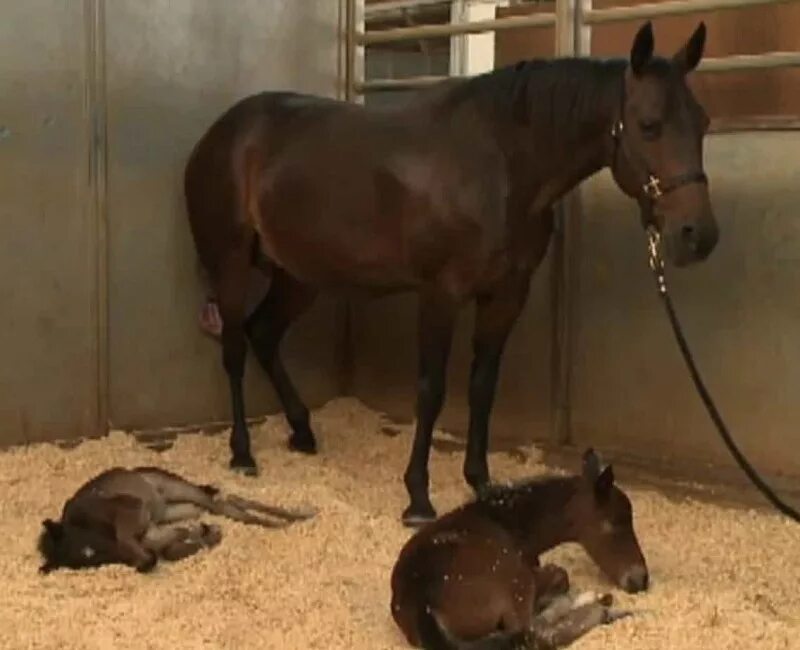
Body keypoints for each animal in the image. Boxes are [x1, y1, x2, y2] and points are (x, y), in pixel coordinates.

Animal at [37, 466, 314, 572]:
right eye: (94, 561)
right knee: (221, 504)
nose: (146, 562)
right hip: (179, 508)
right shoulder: (151, 531)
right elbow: (169, 548)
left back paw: (291, 518)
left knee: (220, 501)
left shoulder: (130, 508)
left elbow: (130, 538)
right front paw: (204, 533)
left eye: (93, 548)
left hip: (177, 489)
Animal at [184, 21, 716, 528]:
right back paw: (242, 454)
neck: (499, 166)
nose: (699, 235)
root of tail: (221, 133)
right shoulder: (441, 293)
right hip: (231, 264)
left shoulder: (506, 295)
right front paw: (418, 498)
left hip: (299, 276)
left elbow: (482, 387)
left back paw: (301, 430)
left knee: (263, 333)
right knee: (234, 347)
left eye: (704, 122)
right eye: (649, 125)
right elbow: (432, 389)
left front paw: (480, 482)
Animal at [390, 448, 648, 644]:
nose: (641, 579)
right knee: (534, 633)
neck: (508, 521)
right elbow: (560, 574)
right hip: (517, 582)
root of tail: (423, 603)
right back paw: (600, 606)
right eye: (615, 523)